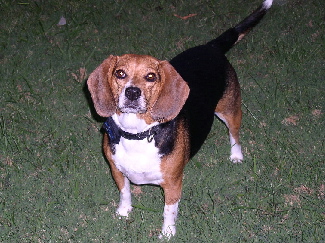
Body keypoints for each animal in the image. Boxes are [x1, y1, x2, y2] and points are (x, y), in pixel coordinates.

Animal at [86, 0, 270, 238]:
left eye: (151, 77)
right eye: (120, 73)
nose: (132, 92)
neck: (137, 133)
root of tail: (211, 47)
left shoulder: (173, 184)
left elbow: (169, 211)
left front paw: (167, 233)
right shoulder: (117, 171)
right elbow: (125, 192)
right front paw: (124, 211)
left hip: (230, 110)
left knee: (235, 134)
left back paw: (236, 155)